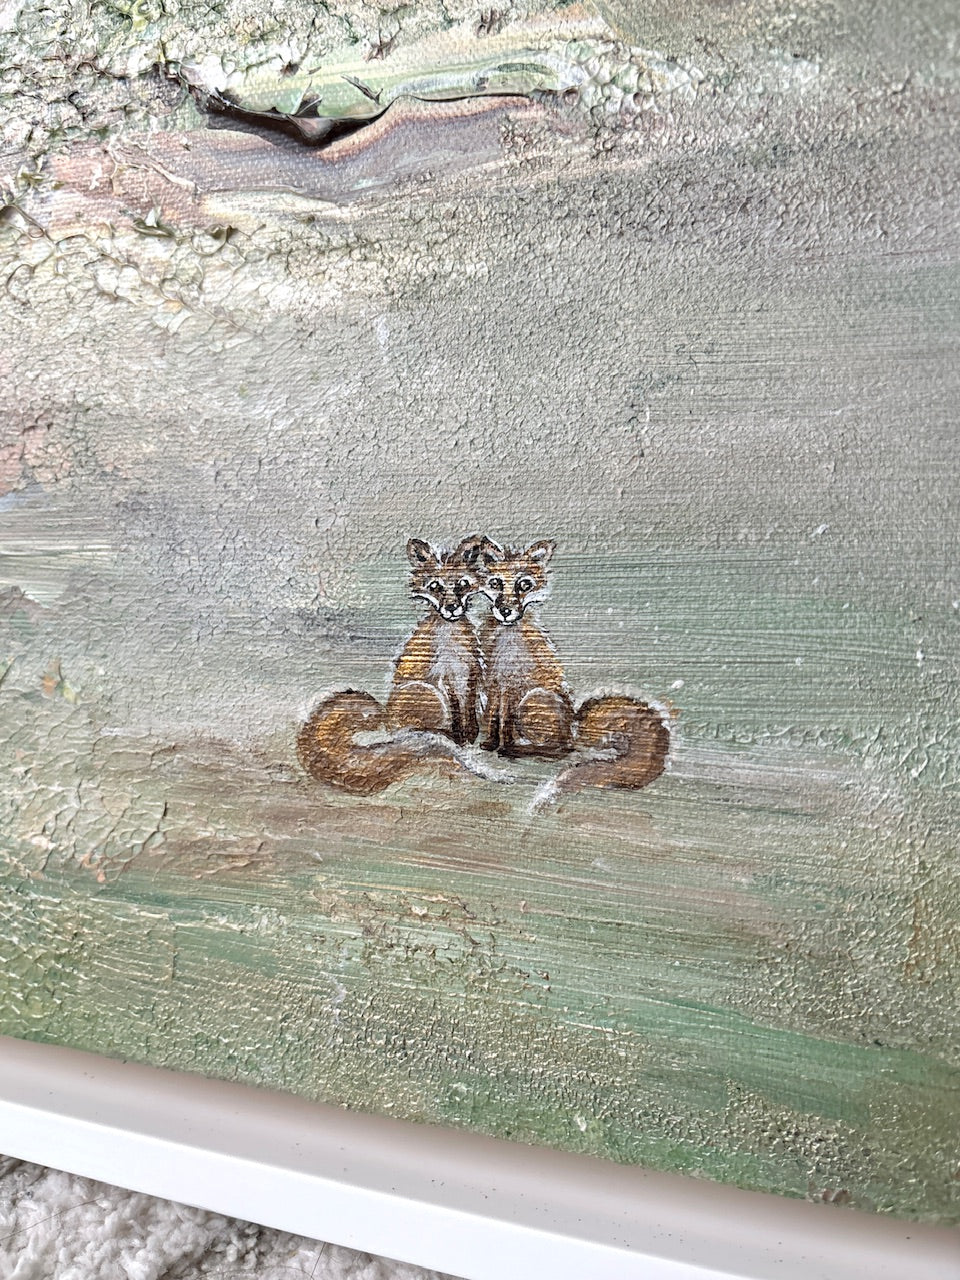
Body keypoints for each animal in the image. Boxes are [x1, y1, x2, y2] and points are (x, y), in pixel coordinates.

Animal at [297, 535, 503, 796]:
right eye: (435, 587)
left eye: (462, 584)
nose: (451, 608)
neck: (451, 638)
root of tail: (386, 719)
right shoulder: (444, 677)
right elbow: (457, 714)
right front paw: (460, 740)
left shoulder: (470, 673)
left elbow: (469, 714)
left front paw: (471, 738)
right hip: (426, 692)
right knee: (418, 731)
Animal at [477, 537, 671, 799]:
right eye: (496, 583)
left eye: (524, 585)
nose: (505, 611)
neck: (504, 643)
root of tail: (574, 724)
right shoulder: (492, 683)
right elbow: (492, 719)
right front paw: (489, 744)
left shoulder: (512, 685)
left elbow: (504, 722)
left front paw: (503, 747)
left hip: (532, 700)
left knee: (562, 749)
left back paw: (521, 749)